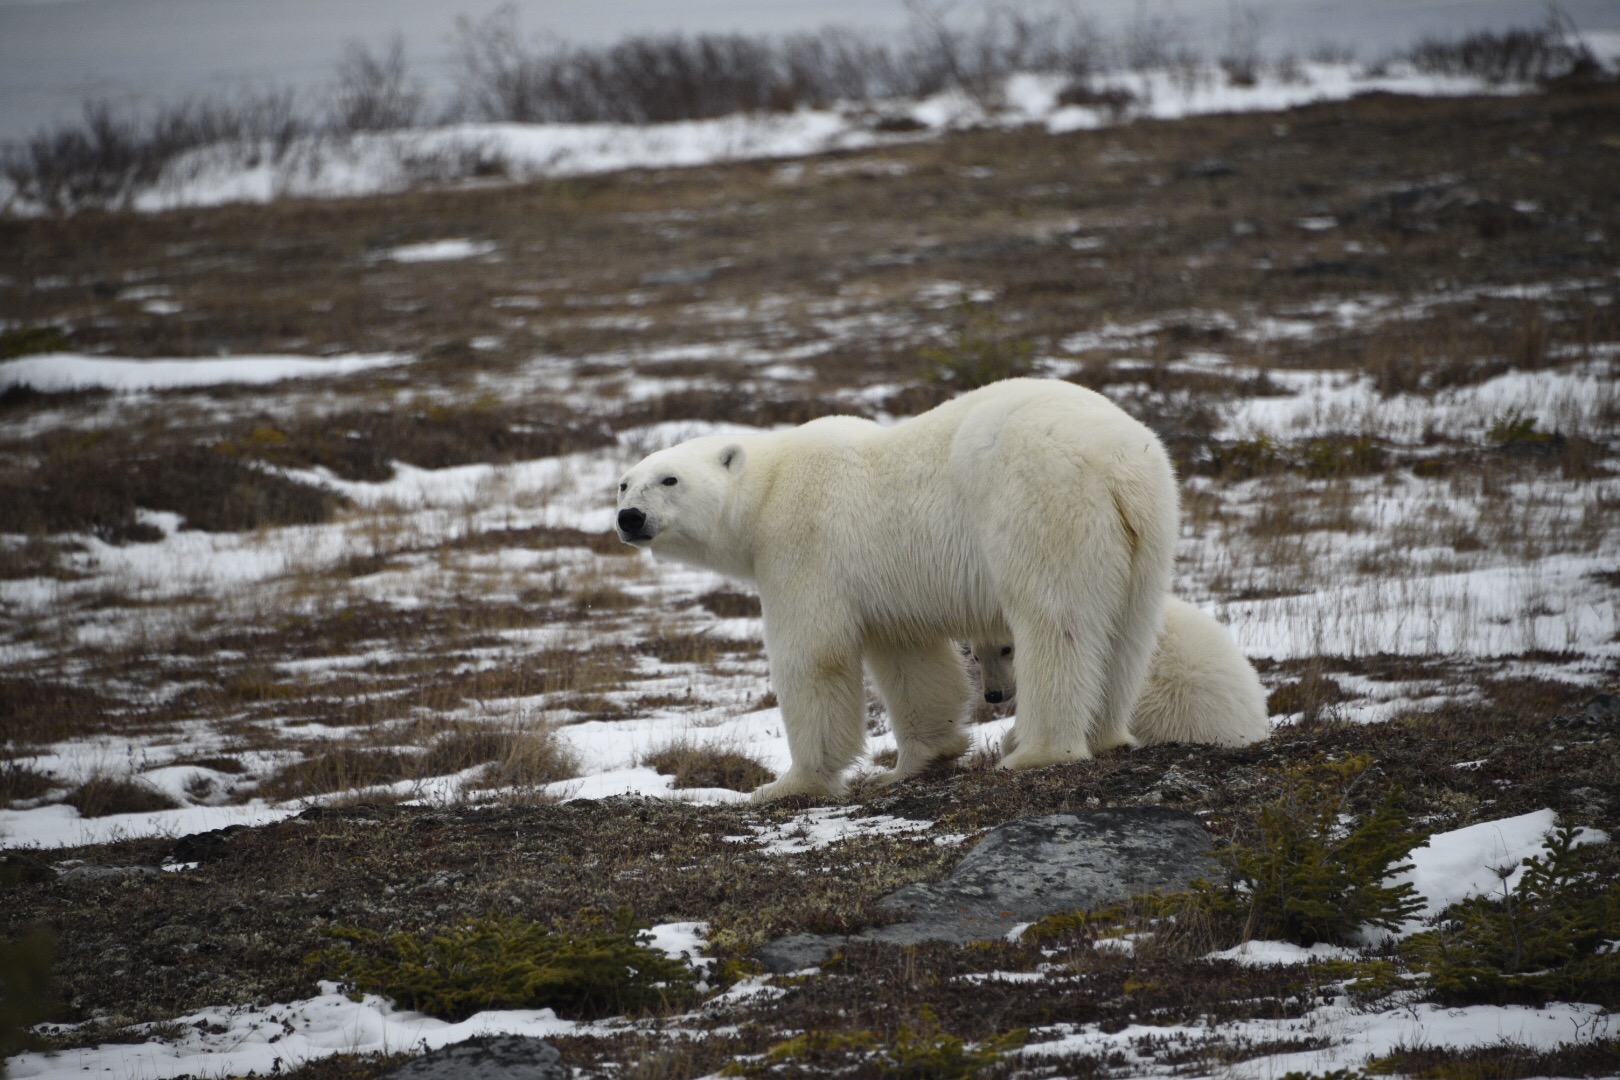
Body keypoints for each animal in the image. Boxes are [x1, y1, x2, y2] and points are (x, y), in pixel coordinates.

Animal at [612, 380, 1172, 803]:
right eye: (624, 482)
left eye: (669, 479)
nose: (629, 518)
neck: (768, 489)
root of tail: (1118, 460)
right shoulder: (885, 587)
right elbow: (911, 661)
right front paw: (914, 762)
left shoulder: (804, 546)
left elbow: (814, 657)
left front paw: (787, 784)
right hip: (1146, 535)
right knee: (1128, 631)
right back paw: (1106, 733)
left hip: (1041, 503)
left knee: (1055, 620)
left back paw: (1037, 748)